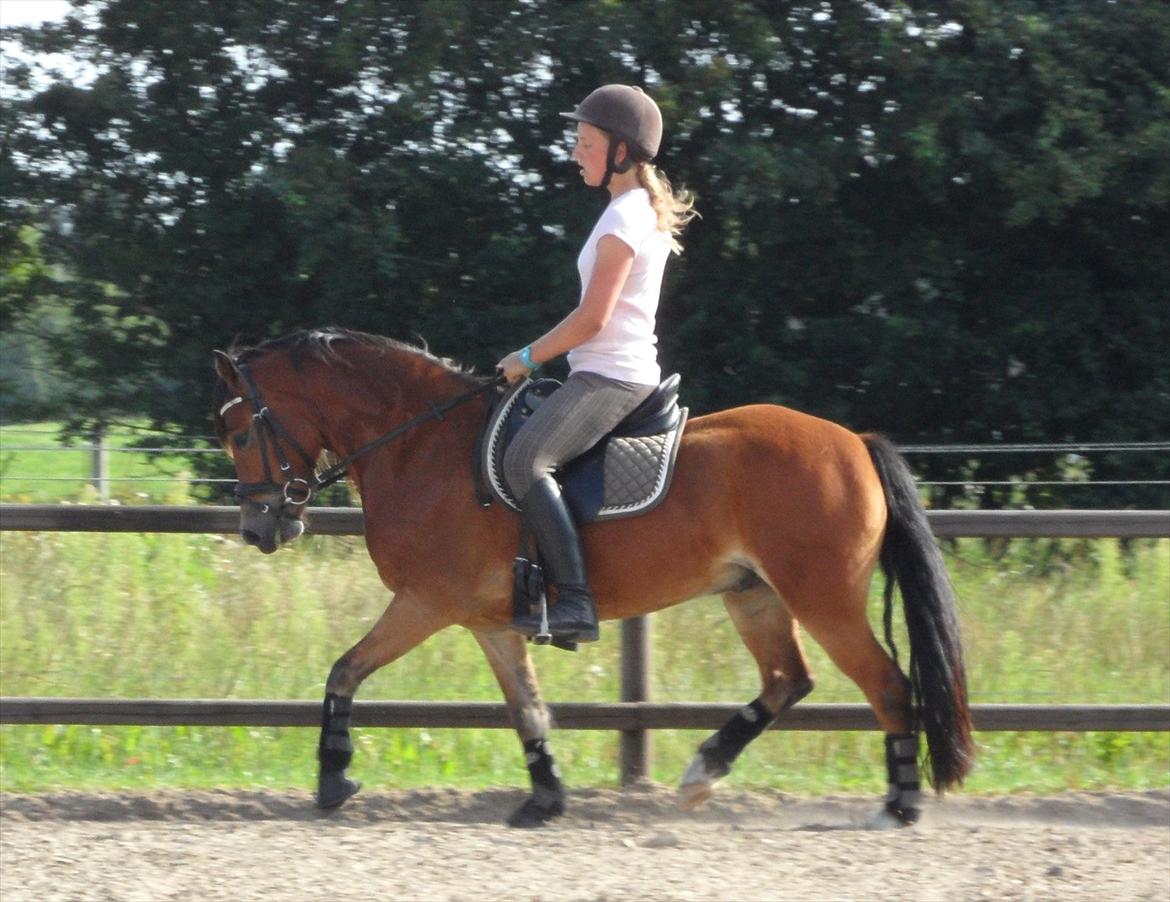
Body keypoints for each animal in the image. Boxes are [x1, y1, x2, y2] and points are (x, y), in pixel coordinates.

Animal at [211, 327, 974, 828]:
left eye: (241, 435)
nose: (260, 529)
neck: (418, 444)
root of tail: (855, 443)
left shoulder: (426, 601)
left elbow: (345, 669)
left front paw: (332, 777)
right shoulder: (487, 621)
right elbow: (527, 707)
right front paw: (545, 798)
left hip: (822, 597)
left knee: (887, 687)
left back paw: (900, 804)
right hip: (752, 594)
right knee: (789, 680)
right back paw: (703, 771)